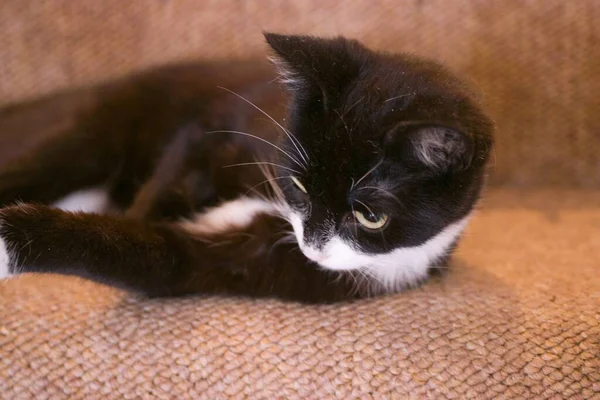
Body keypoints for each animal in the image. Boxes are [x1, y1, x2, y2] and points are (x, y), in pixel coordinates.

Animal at [0, 32, 494, 304]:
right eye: (298, 184)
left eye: (370, 217)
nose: (313, 246)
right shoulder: (229, 125)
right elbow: (181, 162)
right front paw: (145, 211)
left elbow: (163, 258)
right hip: (99, 127)